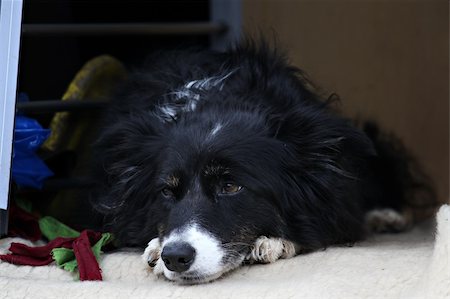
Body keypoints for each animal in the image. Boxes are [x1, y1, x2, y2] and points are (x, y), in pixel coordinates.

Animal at [90, 41, 422, 284]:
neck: (219, 100)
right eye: (166, 192)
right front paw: (157, 249)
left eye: (231, 186)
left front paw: (274, 243)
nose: (175, 257)